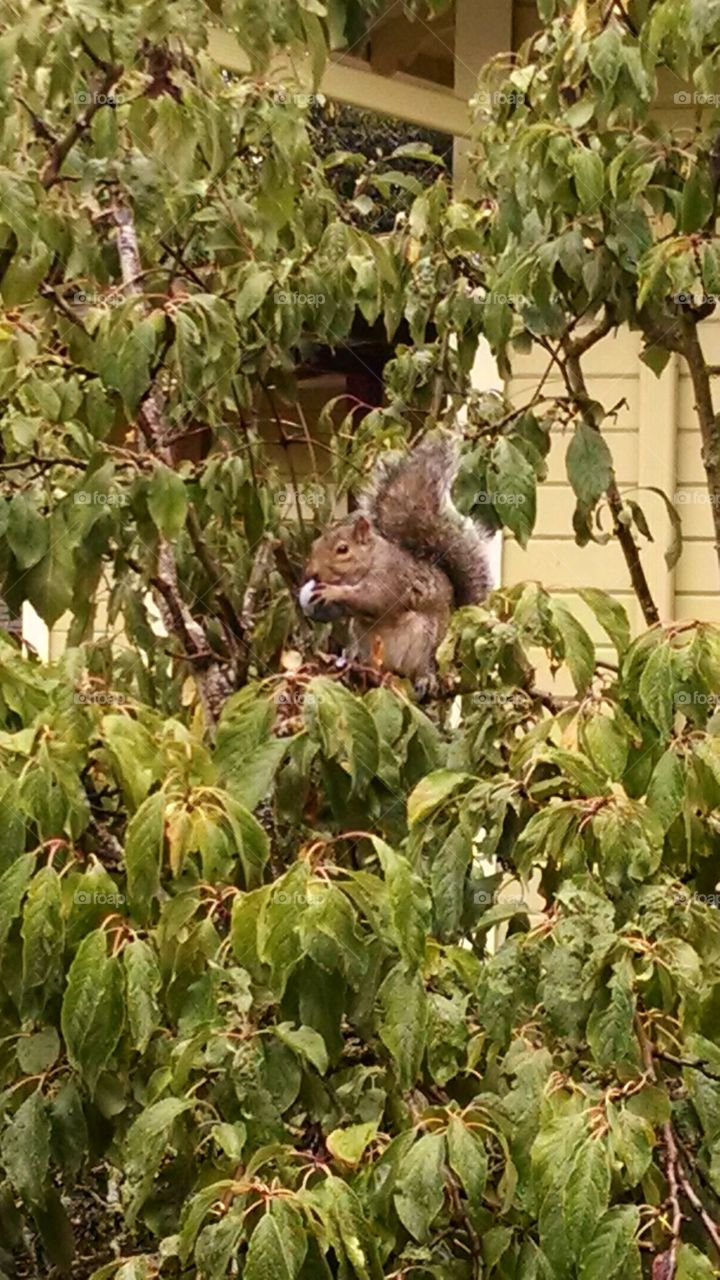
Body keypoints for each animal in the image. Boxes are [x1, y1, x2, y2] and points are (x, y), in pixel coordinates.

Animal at [298, 436, 491, 680]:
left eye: (342, 549)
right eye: (314, 545)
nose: (311, 573)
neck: (372, 559)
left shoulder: (391, 577)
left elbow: (373, 599)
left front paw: (333, 592)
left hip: (426, 639)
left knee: (424, 665)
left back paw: (425, 678)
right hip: (362, 638)